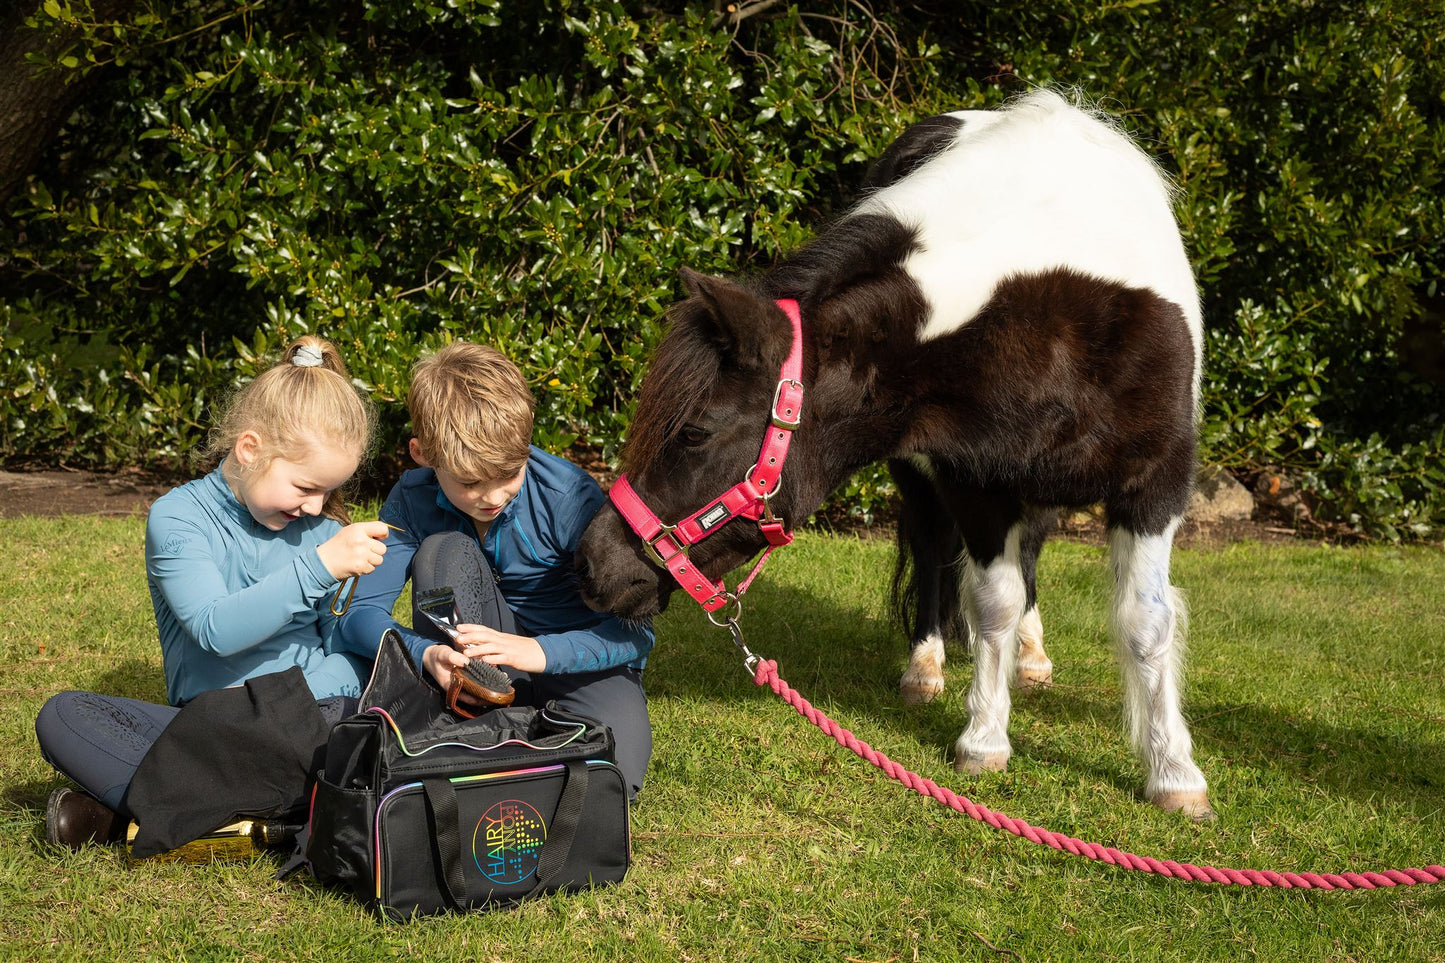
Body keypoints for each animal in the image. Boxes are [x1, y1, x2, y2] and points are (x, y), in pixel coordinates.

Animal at [575, 90, 1208, 815]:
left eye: (696, 431)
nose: (589, 562)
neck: (1056, 301)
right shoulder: (977, 482)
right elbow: (992, 599)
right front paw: (984, 738)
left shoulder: (1155, 483)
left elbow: (1145, 620)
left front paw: (1173, 772)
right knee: (936, 549)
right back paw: (926, 667)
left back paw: (1031, 656)